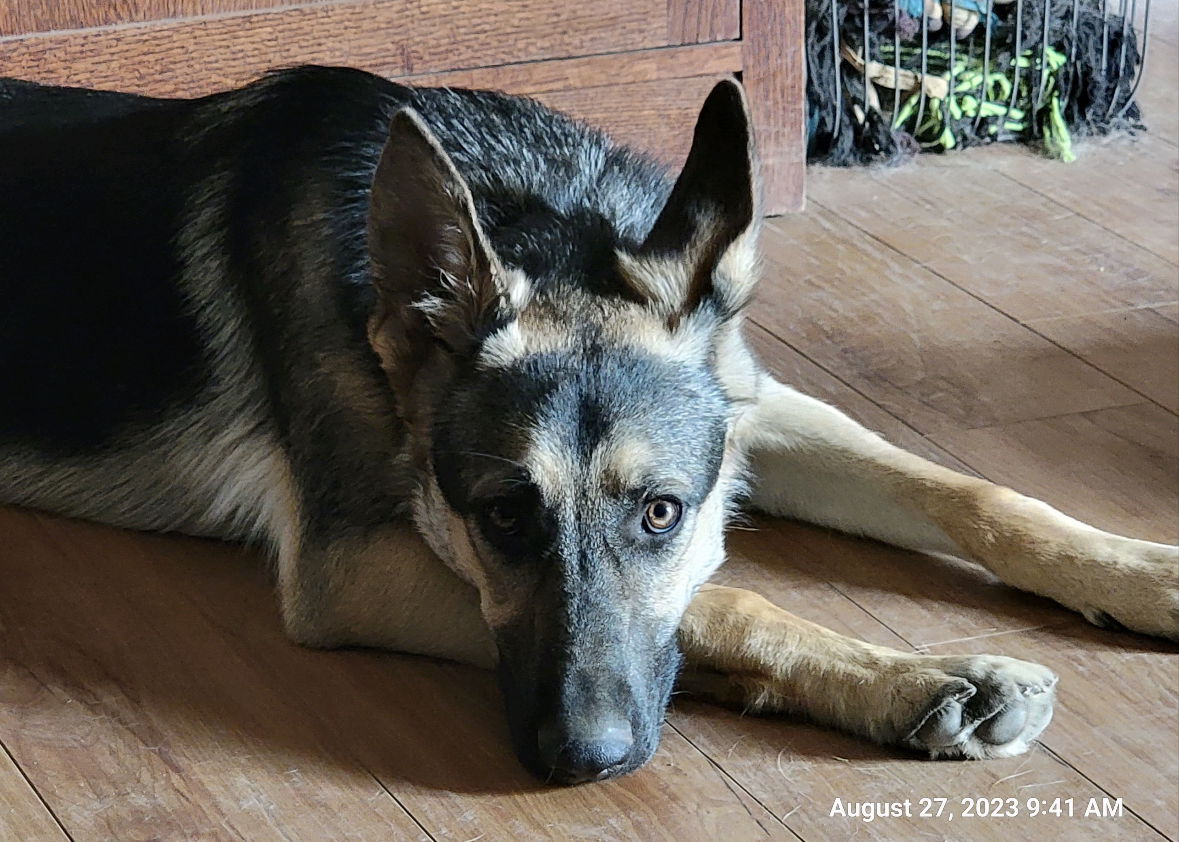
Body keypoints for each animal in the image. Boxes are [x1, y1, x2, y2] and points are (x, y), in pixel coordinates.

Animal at [2, 65, 1179, 778]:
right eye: (499, 517)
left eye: (662, 512)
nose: (581, 760)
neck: (541, 215)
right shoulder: (350, 567)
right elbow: (728, 601)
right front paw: (915, 679)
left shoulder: (750, 407)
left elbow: (970, 490)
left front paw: (1135, 569)